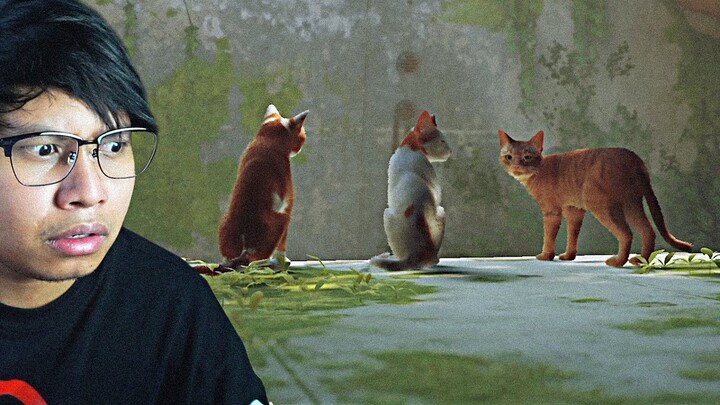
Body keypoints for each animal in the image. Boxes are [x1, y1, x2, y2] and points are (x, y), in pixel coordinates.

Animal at [218, 104, 308, 269]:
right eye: (302, 138)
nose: (299, 148)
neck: (267, 140)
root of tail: (245, 243)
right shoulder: (287, 203)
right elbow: (282, 246)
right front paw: (283, 260)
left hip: (224, 221)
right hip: (281, 219)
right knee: (257, 260)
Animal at [498, 129, 692, 267]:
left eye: (527, 157)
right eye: (509, 157)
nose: (516, 166)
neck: (540, 169)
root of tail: (634, 158)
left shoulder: (552, 211)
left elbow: (549, 236)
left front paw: (546, 256)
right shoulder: (574, 210)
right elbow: (572, 235)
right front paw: (568, 256)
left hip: (602, 205)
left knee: (627, 233)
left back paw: (617, 262)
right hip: (631, 203)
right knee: (648, 231)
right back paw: (640, 261)